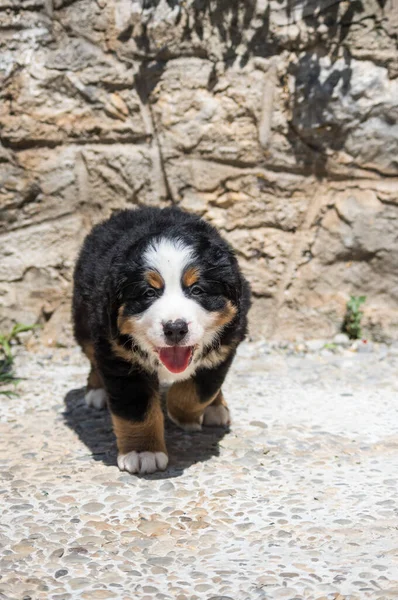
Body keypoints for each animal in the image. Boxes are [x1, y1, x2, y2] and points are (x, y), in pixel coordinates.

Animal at [72, 206, 249, 474]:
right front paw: (143, 452)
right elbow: (137, 409)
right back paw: (97, 390)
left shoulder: (225, 346)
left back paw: (216, 407)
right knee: (93, 356)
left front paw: (183, 415)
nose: (175, 328)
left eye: (197, 290)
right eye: (148, 293)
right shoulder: (120, 358)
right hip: (85, 322)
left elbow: (197, 391)